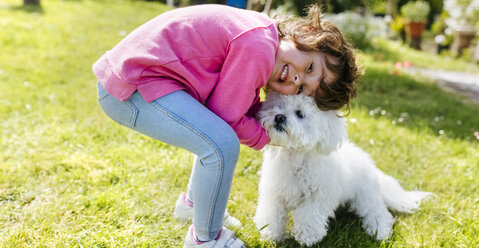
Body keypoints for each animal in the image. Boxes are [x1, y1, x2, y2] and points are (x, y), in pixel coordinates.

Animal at [256, 92, 434, 246]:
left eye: (300, 113)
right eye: (277, 106)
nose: (279, 116)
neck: (296, 156)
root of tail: (372, 167)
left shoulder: (319, 197)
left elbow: (309, 216)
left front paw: (306, 237)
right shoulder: (275, 193)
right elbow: (272, 215)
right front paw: (271, 235)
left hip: (367, 197)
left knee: (380, 214)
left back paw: (379, 233)